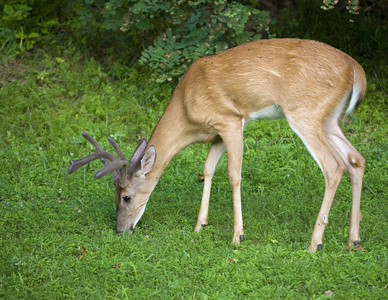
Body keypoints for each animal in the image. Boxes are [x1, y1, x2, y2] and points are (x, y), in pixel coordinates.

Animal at [67, 38, 366, 252]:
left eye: (126, 196)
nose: (120, 230)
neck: (187, 110)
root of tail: (356, 70)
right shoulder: (217, 134)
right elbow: (208, 169)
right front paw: (200, 225)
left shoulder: (231, 120)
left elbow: (234, 175)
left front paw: (237, 235)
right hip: (330, 119)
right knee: (356, 159)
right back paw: (353, 240)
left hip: (305, 112)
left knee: (333, 167)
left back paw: (314, 243)